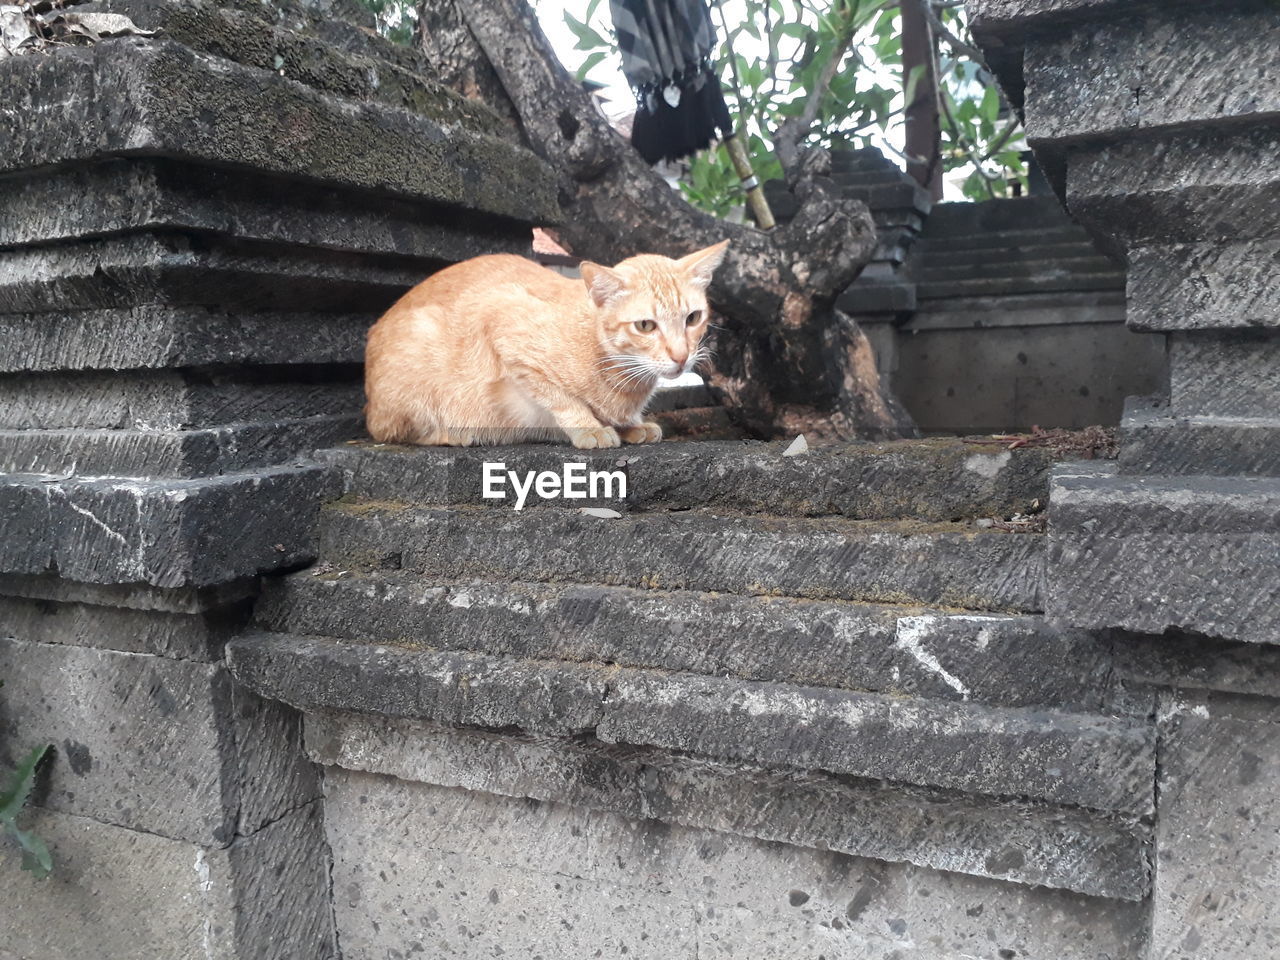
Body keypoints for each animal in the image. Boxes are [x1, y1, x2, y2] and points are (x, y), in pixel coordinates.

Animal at [368, 240, 732, 450]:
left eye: (693, 318)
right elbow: (563, 400)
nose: (681, 357)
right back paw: (452, 434)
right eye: (645, 325)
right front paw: (590, 427)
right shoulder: (500, 319)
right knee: (392, 431)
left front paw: (631, 426)